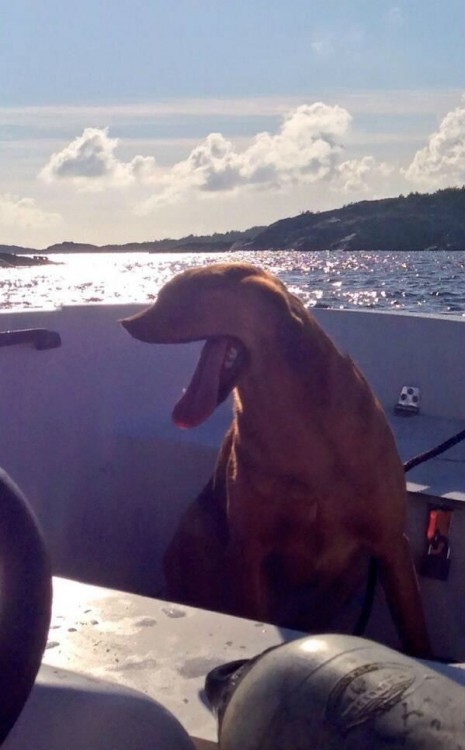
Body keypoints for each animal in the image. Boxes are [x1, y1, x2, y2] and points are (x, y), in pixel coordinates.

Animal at [121, 262, 430, 656]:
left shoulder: (391, 543)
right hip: (197, 530)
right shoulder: (249, 549)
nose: (125, 322)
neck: (298, 424)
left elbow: (415, 630)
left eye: (178, 296)